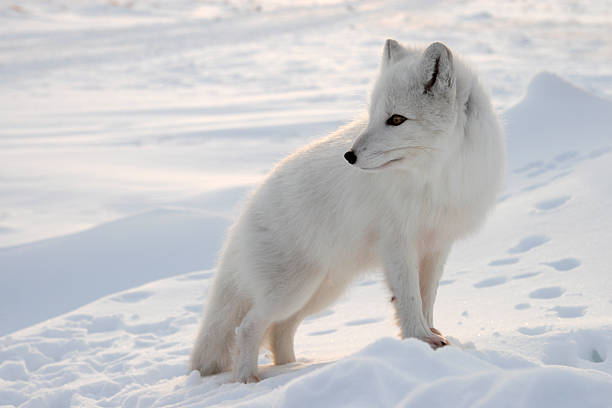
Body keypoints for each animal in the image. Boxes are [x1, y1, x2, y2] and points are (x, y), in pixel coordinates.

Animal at [192, 39, 506, 380]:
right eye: (372, 115)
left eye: (396, 119)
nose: (349, 156)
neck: (433, 176)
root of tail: (246, 211)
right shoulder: (397, 245)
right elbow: (409, 298)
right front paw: (419, 340)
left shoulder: (436, 245)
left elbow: (427, 297)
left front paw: (431, 337)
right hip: (292, 291)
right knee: (248, 327)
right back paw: (248, 379)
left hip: (322, 291)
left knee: (279, 331)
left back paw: (291, 369)